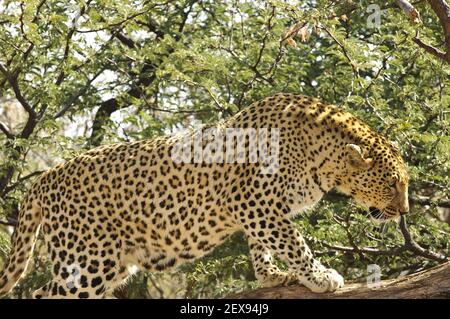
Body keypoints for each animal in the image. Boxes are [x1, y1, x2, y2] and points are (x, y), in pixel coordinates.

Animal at [0, 94, 410, 298]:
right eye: (392, 184)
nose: (404, 210)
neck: (322, 157)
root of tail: (45, 178)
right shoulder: (253, 202)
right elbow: (294, 242)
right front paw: (320, 276)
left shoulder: (260, 210)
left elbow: (263, 245)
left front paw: (271, 276)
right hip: (86, 264)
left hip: (109, 263)